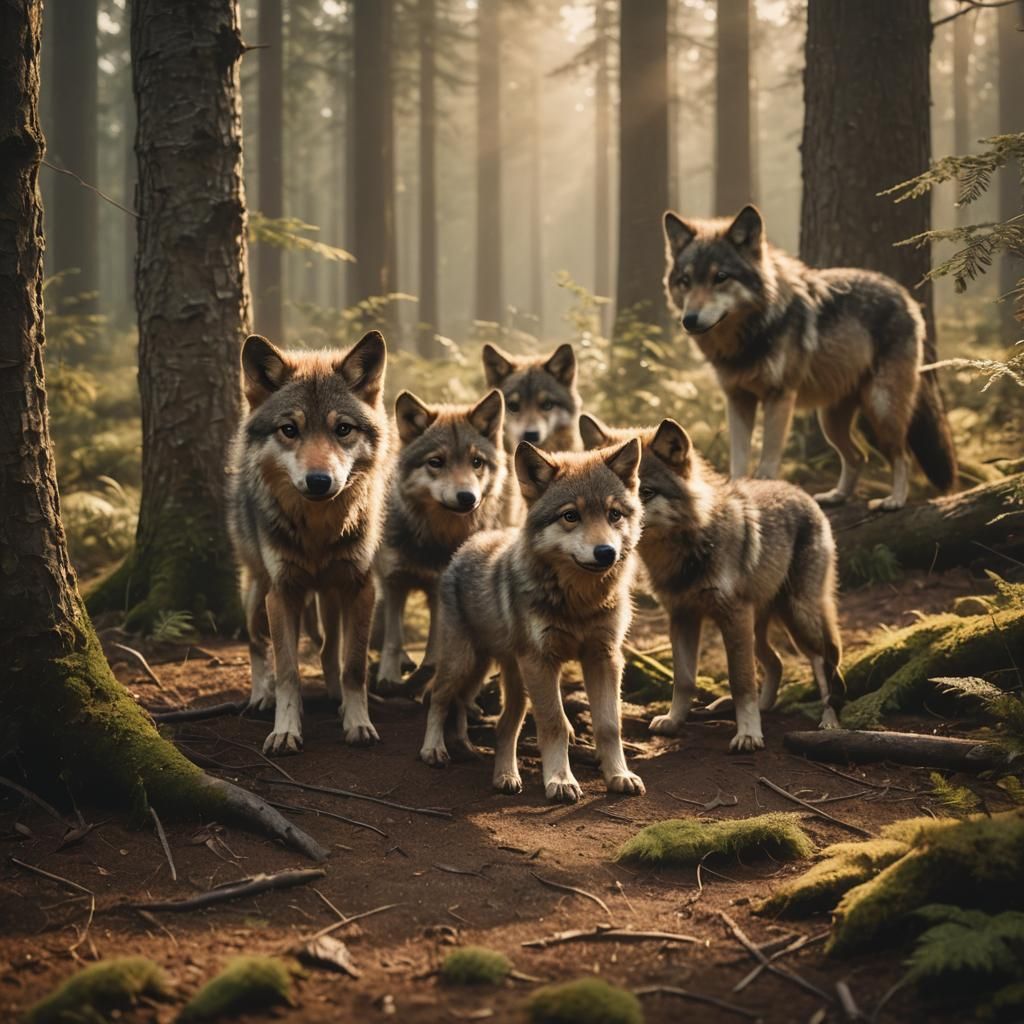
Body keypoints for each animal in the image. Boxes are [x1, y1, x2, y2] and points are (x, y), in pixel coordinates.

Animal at [228, 331, 390, 754]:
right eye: (289, 429)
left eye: (343, 429)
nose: (319, 481)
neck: (319, 531)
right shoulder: (283, 592)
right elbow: (288, 671)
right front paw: (285, 729)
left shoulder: (361, 588)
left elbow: (354, 667)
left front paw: (357, 721)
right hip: (258, 593)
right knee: (256, 644)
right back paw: (261, 696)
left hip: (329, 594)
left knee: (328, 647)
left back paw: (335, 698)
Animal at [374, 389, 507, 693]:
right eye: (436, 462)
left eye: (476, 462)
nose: (467, 497)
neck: (434, 538)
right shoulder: (393, 579)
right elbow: (393, 636)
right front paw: (388, 676)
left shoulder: (438, 588)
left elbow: (437, 640)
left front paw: (431, 671)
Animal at [419, 440, 646, 803]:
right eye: (571, 516)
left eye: (614, 514)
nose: (606, 552)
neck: (579, 602)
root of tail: (470, 543)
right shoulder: (542, 661)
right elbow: (555, 723)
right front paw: (560, 780)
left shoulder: (605, 658)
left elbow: (610, 726)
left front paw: (619, 775)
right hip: (465, 662)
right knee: (440, 696)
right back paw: (435, 750)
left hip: (506, 675)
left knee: (496, 719)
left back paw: (489, 763)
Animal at [581, 413, 844, 749]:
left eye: (646, 492)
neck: (688, 552)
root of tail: (800, 492)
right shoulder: (682, 617)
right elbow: (684, 679)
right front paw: (674, 720)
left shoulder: (733, 615)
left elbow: (741, 681)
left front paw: (748, 734)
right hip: (761, 626)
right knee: (777, 662)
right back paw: (762, 707)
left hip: (798, 617)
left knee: (825, 661)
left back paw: (829, 720)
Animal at [662, 205, 957, 511]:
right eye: (685, 282)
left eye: (720, 277)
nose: (689, 320)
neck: (750, 336)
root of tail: (904, 294)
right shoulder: (738, 399)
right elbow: (738, 461)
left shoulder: (779, 397)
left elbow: (767, 462)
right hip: (830, 420)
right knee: (857, 456)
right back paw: (837, 496)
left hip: (881, 407)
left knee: (902, 456)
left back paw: (895, 499)